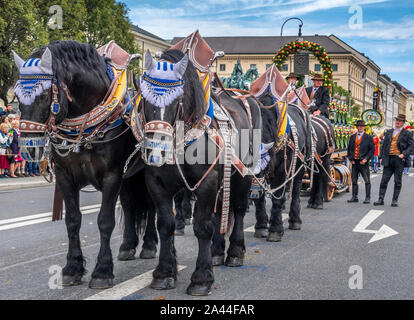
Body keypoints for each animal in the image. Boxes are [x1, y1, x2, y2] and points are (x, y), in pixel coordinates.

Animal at [13, 41, 157, 288]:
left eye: (44, 94)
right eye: (17, 94)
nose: (28, 149)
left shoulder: (112, 175)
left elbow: (105, 220)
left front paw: (102, 271)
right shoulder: (64, 176)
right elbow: (72, 220)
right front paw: (72, 268)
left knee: (152, 204)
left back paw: (148, 245)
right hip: (129, 176)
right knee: (129, 205)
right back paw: (127, 246)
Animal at [141, 48, 260, 296]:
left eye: (177, 99)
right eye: (143, 96)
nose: (156, 151)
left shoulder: (207, 182)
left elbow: (202, 227)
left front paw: (202, 278)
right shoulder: (156, 183)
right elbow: (165, 224)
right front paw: (164, 273)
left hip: (242, 177)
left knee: (239, 209)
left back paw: (235, 252)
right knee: (220, 212)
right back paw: (216, 252)